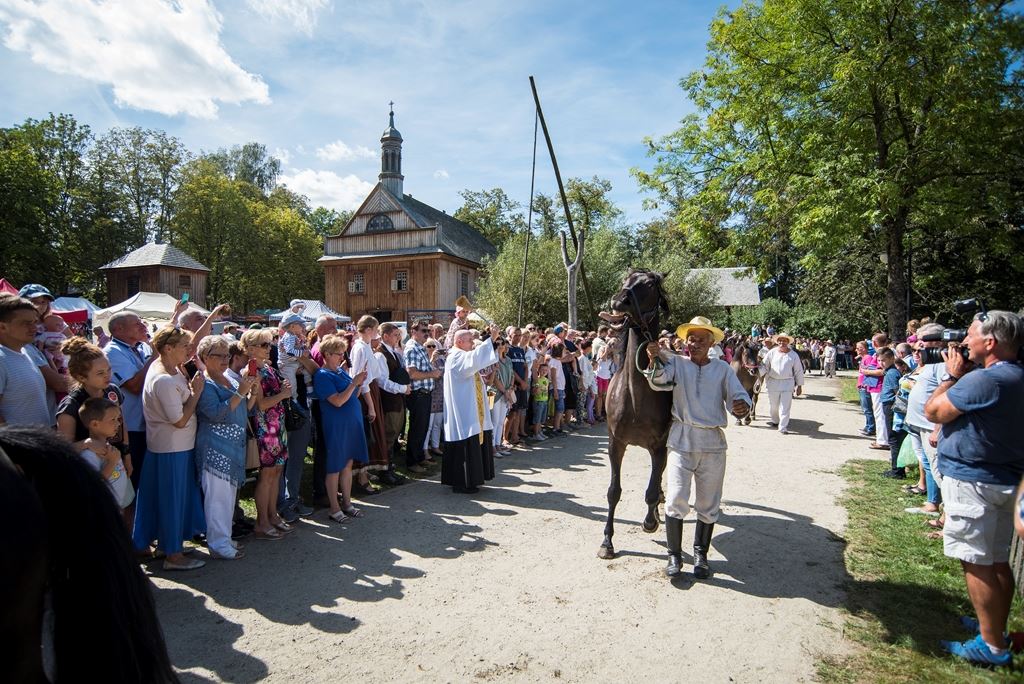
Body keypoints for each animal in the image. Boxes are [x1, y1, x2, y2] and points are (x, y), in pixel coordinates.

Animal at [597, 269, 674, 559]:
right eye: (624, 280)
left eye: (650, 284)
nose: (619, 300)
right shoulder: (615, 443)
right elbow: (613, 492)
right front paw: (607, 542)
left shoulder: (659, 446)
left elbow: (651, 489)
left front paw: (650, 521)